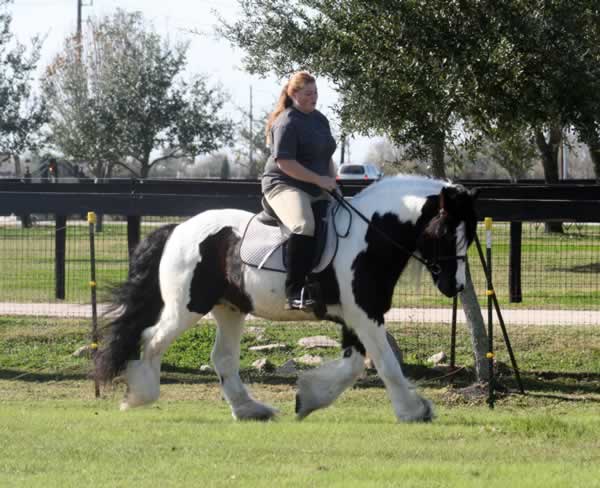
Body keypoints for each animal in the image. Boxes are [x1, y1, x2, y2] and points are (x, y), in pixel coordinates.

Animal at [95, 175, 478, 422]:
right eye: (446, 231)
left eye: (470, 235)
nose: (455, 286)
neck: (369, 238)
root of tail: (178, 229)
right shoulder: (365, 315)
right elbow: (385, 364)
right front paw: (414, 411)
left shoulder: (357, 316)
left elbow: (354, 366)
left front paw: (308, 397)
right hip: (187, 307)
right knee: (152, 339)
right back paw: (139, 395)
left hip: (229, 309)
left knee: (222, 358)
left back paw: (250, 410)